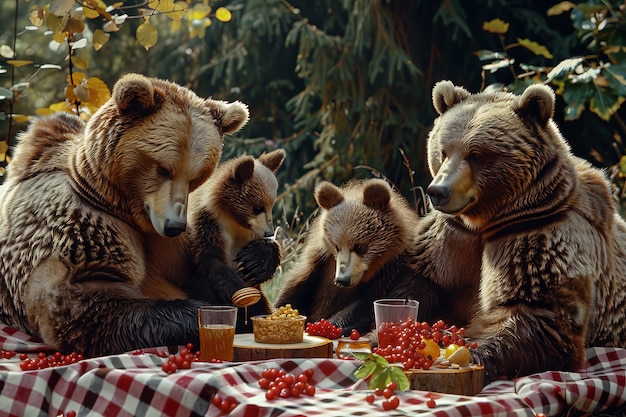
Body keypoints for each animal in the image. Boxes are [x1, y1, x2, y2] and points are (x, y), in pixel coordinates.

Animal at [0, 73, 250, 356]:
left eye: (196, 176)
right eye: (163, 169)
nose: (173, 225)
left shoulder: (172, 243)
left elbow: (204, 261)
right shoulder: (81, 224)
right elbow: (86, 298)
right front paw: (202, 311)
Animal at [183, 150, 286, 328]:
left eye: (271, 207)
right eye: (258, 208)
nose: (269, 232)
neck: (231, 218)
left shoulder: (249, 233)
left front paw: (254, 263)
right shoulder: (207, 222)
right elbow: (207, 258)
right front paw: (240, 289)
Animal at [272, 177, 478, 334]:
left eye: (360, 246)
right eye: (336, 245)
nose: (342, 280)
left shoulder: (389, 274)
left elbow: (364, 307)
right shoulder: (318, 266)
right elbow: (293, 291)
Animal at [424, 79, 624, 382]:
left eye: (476, 154)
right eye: (443, 150)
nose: (438, 191)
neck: (486, 221)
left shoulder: (536, 236)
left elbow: (532, 311)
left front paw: (464, 349)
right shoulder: (452, 239)